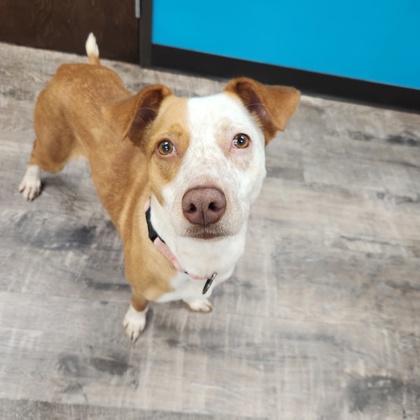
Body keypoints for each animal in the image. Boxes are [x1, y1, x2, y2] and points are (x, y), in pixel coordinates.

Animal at [19, 34, 300, 341]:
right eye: (165, 147)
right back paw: (30, 181)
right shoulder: (139, 287)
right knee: (35, 152)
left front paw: (195, 300)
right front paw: (135, 320)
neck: (199, 256)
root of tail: (74, 67)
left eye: (240, 140)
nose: (203, 204)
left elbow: (194, 294)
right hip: (54, 151)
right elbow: (139, 302)